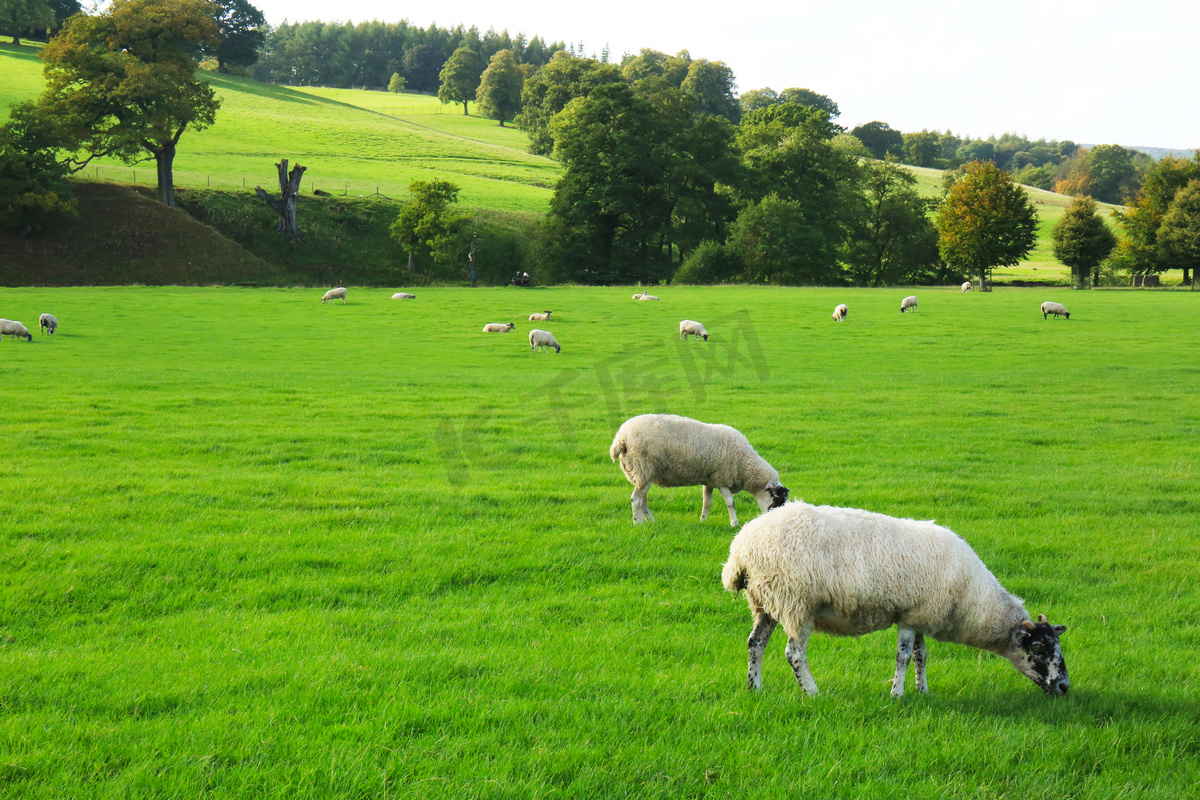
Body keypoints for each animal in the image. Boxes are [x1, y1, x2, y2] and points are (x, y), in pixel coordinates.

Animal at [609, 417, 787, 527]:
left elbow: (706, 502)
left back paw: (650, 520)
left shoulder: (710, 480)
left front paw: (703, 520)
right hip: (644, 469)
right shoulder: (722, 477)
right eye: (777, 499)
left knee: (643, 499)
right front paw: (734, 523)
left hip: (646, 474)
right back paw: (638, 522)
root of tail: (620, 439)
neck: (745, 464)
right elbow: (730, 502)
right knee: (636, 499)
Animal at [720, 503, 1070, 695]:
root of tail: (740, 549)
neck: (970, 597)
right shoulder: (910, 615)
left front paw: (922, 690)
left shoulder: (920, 615)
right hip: (796, 603)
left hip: (764, 602)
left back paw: (754, 686)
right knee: (794, 653)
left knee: (755, 644)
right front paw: (898, 693)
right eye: (1038, 648)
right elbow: (902, 657)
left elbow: (921, 655)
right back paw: (812, 691)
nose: (1064, 687)